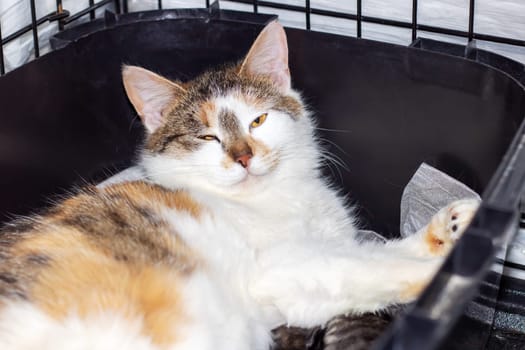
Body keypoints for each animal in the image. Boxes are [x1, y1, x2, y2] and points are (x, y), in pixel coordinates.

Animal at [0, 22, 476, 350]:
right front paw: (441, 278)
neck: (277, 198)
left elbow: (371, 255)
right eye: (207, 137)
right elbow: (363, 268)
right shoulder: (281, 271)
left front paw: (451, 228)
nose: (243, 156)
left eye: (258, 119)